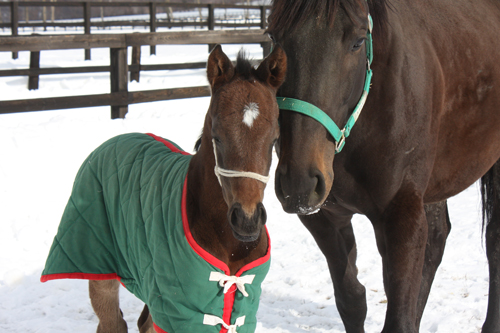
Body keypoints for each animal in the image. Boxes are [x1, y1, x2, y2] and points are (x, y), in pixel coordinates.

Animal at [40, 44, 286, 332]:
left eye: (274, 139)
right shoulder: (177, 309)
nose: (247, 221)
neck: (229, 244)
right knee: (113, 322)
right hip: (99, 268)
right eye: (216, 136)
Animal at [268, 0, 500, 330]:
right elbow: (352, 301)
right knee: (437, 241)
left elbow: (398, 319)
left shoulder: (401, 215)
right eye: (273, 37)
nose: (299, 182)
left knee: (494, 239)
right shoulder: (324, 217)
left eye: (357, 42)